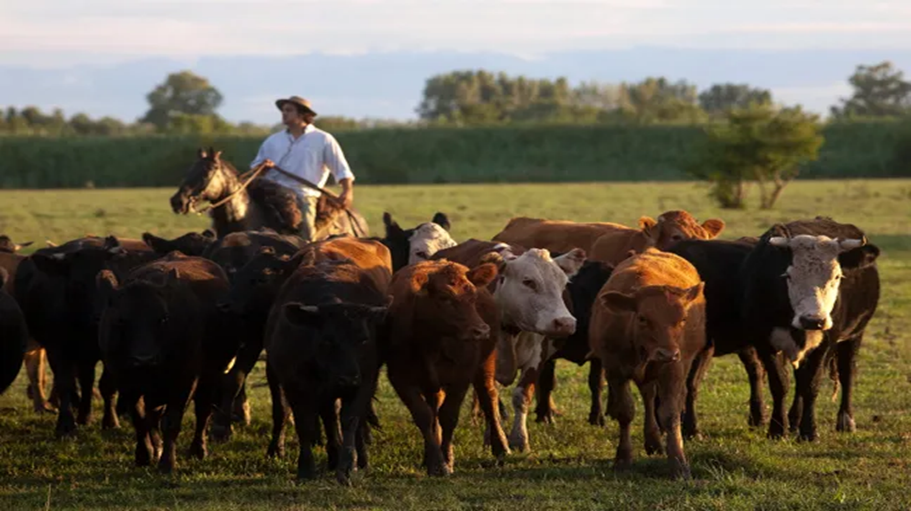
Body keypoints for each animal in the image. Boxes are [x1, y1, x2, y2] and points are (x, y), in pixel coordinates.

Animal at [384, 260, 498, 476]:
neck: (432, 342)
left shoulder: (462, 375)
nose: (481, 330)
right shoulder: (400, 378)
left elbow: (449, 416)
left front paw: (447, 460)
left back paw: (501, 447)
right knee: (434, 409)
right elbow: (424, 416)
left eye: (473, 296)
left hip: (485, 365)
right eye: (444, 298)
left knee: (488, 397)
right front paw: (436, 463)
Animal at [588, 248, 708, 480]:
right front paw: (623, 459)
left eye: (683, 319)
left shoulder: (673, 370)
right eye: (643, 318)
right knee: (648, 395)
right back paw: (652, 439)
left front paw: (678, 463)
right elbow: (625, 411)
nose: (667, 353)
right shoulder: (614, 370)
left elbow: (670, 414)